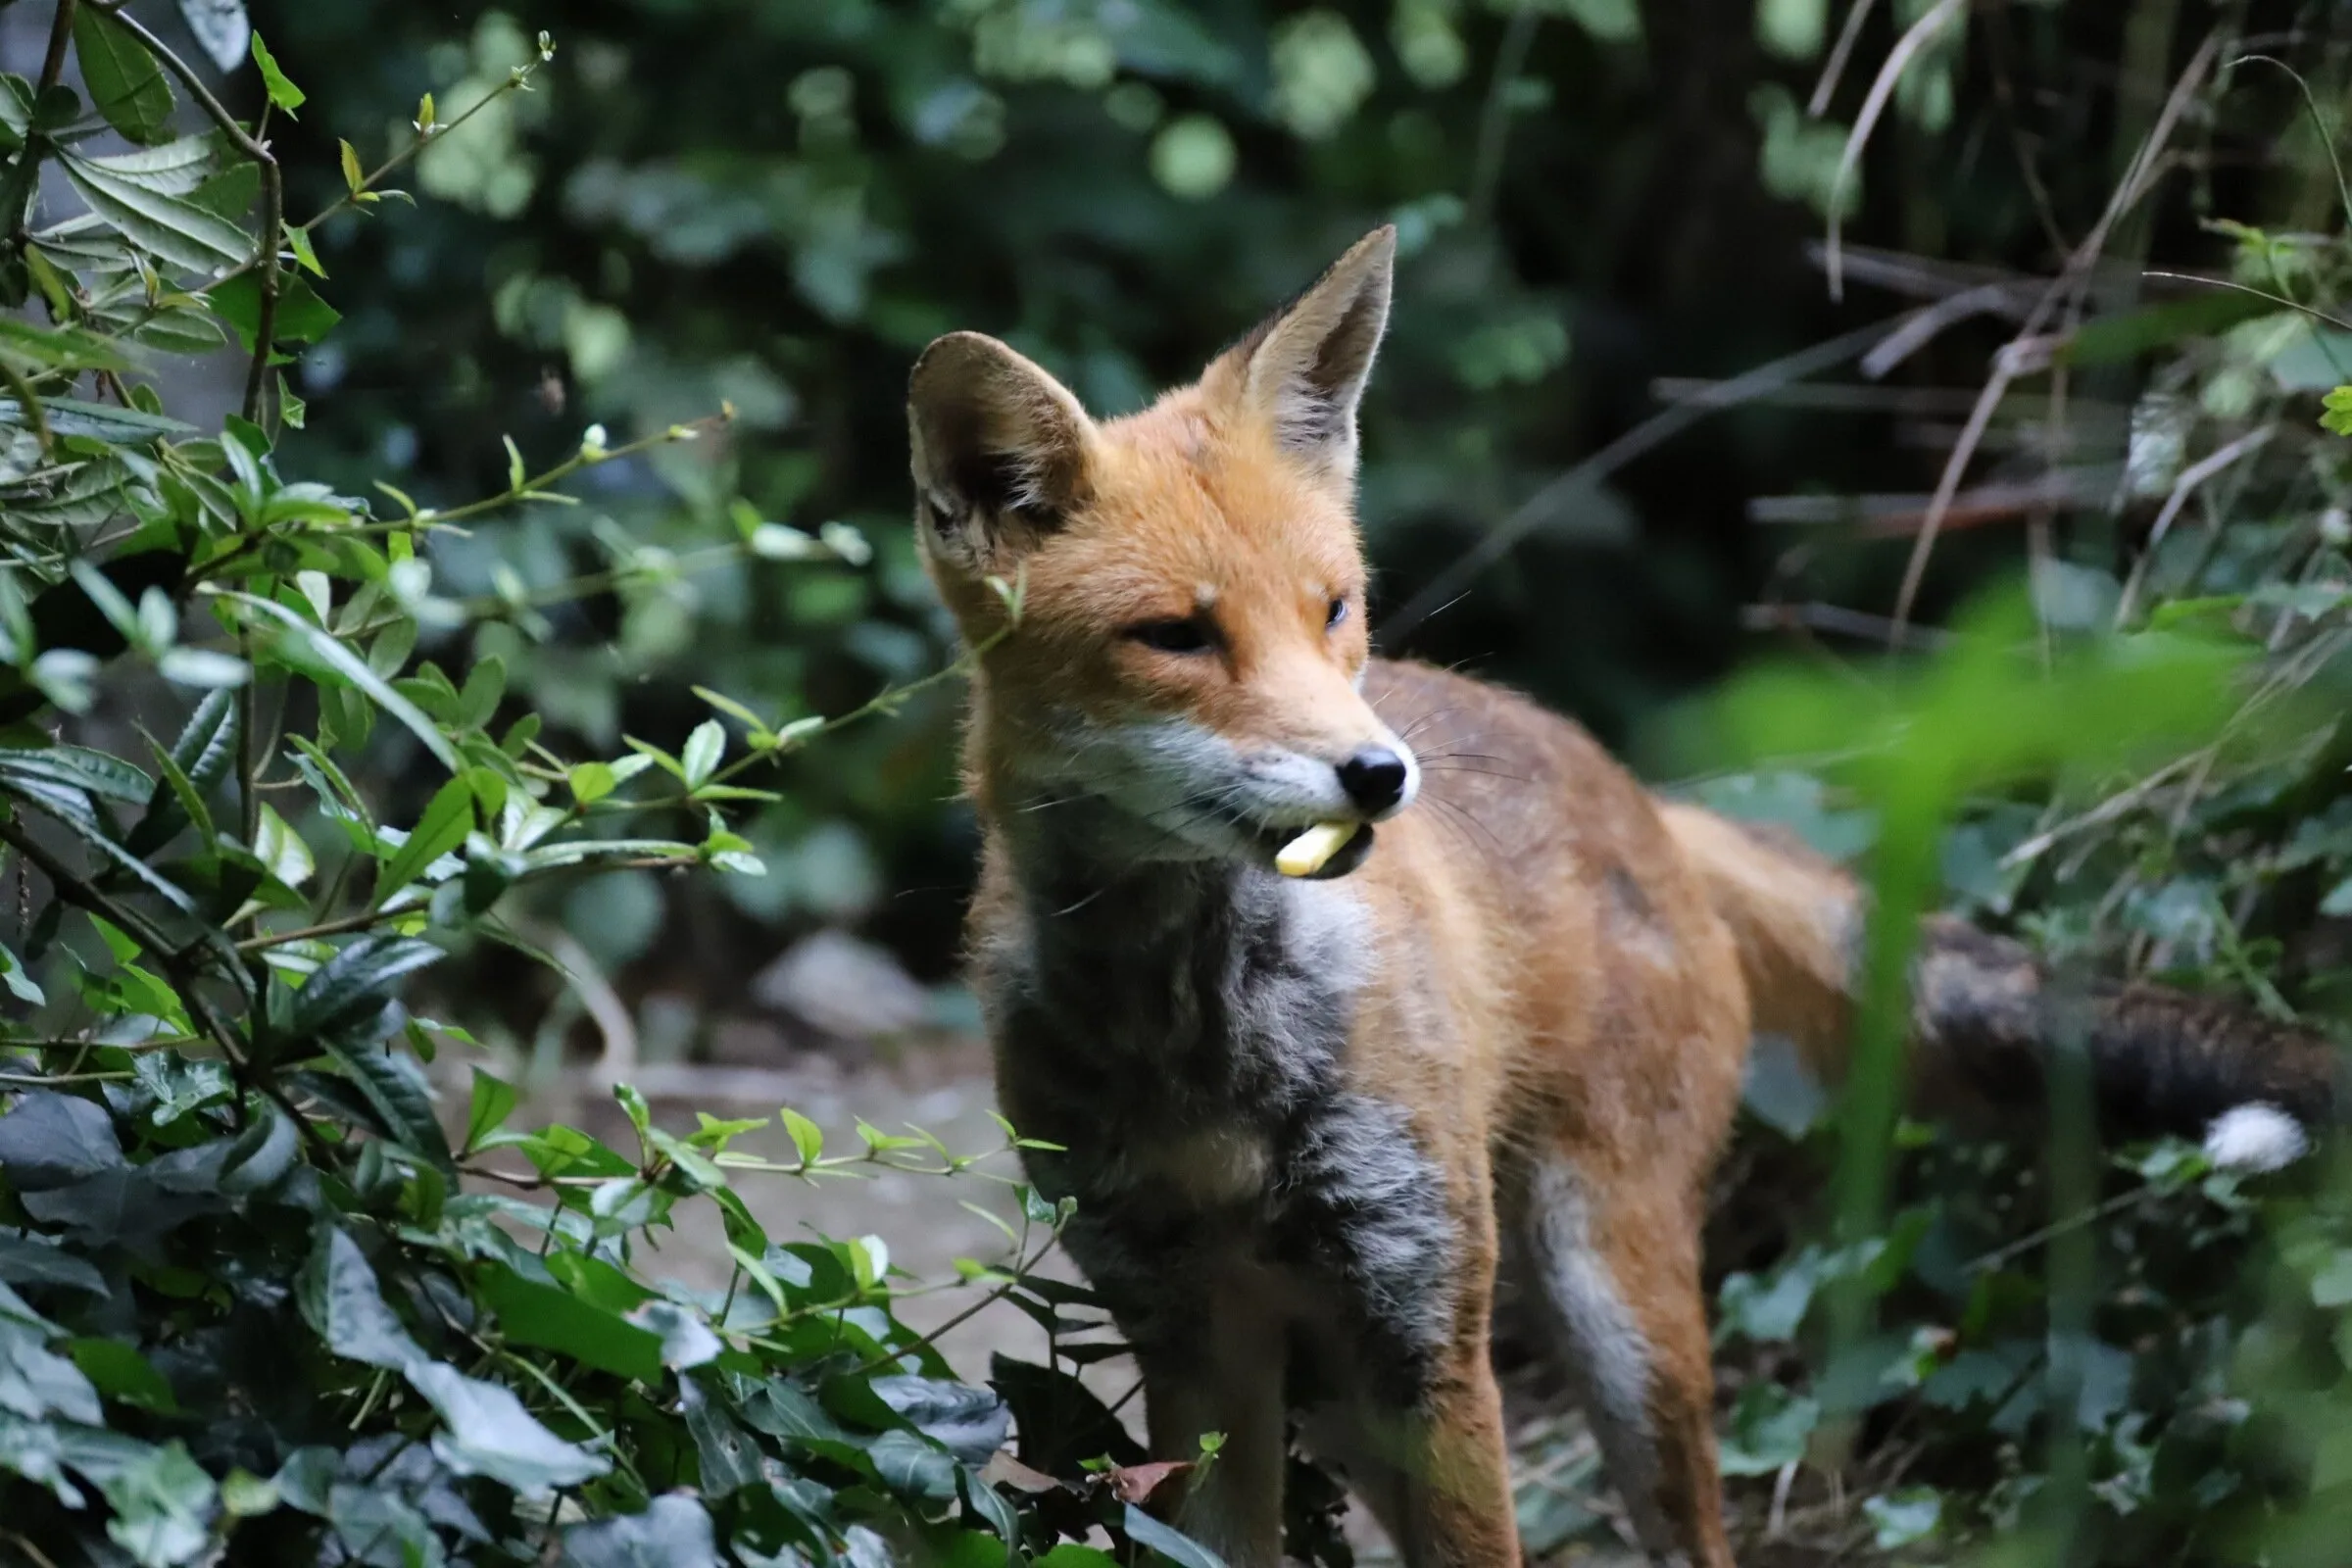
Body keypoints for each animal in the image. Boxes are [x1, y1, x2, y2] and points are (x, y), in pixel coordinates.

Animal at [905, 226, 2342, 1567]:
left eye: (1334, 611)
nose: (1381, 775)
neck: (1202, 1047)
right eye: (1178, 637)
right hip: (1348, 1400)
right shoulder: (1192, 1343)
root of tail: (1643, 795)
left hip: (1611, 1313)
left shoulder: (1427, 1333)